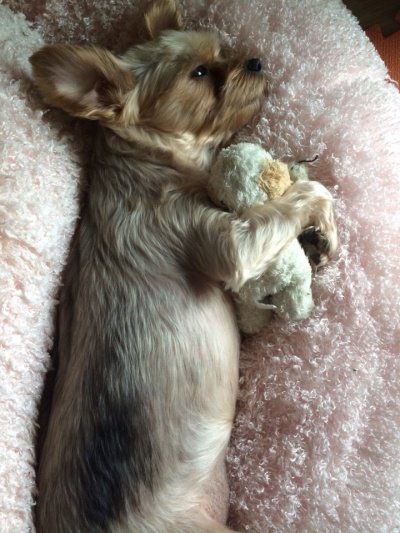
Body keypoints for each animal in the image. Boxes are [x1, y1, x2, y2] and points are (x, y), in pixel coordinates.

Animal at [30, 1, 337, 531]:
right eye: (199, 74)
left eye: (222, 52)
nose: (256, 61)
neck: (151, 161)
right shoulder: (227, 243)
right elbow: (301, 197)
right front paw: (322, 215)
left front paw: (315, 237)